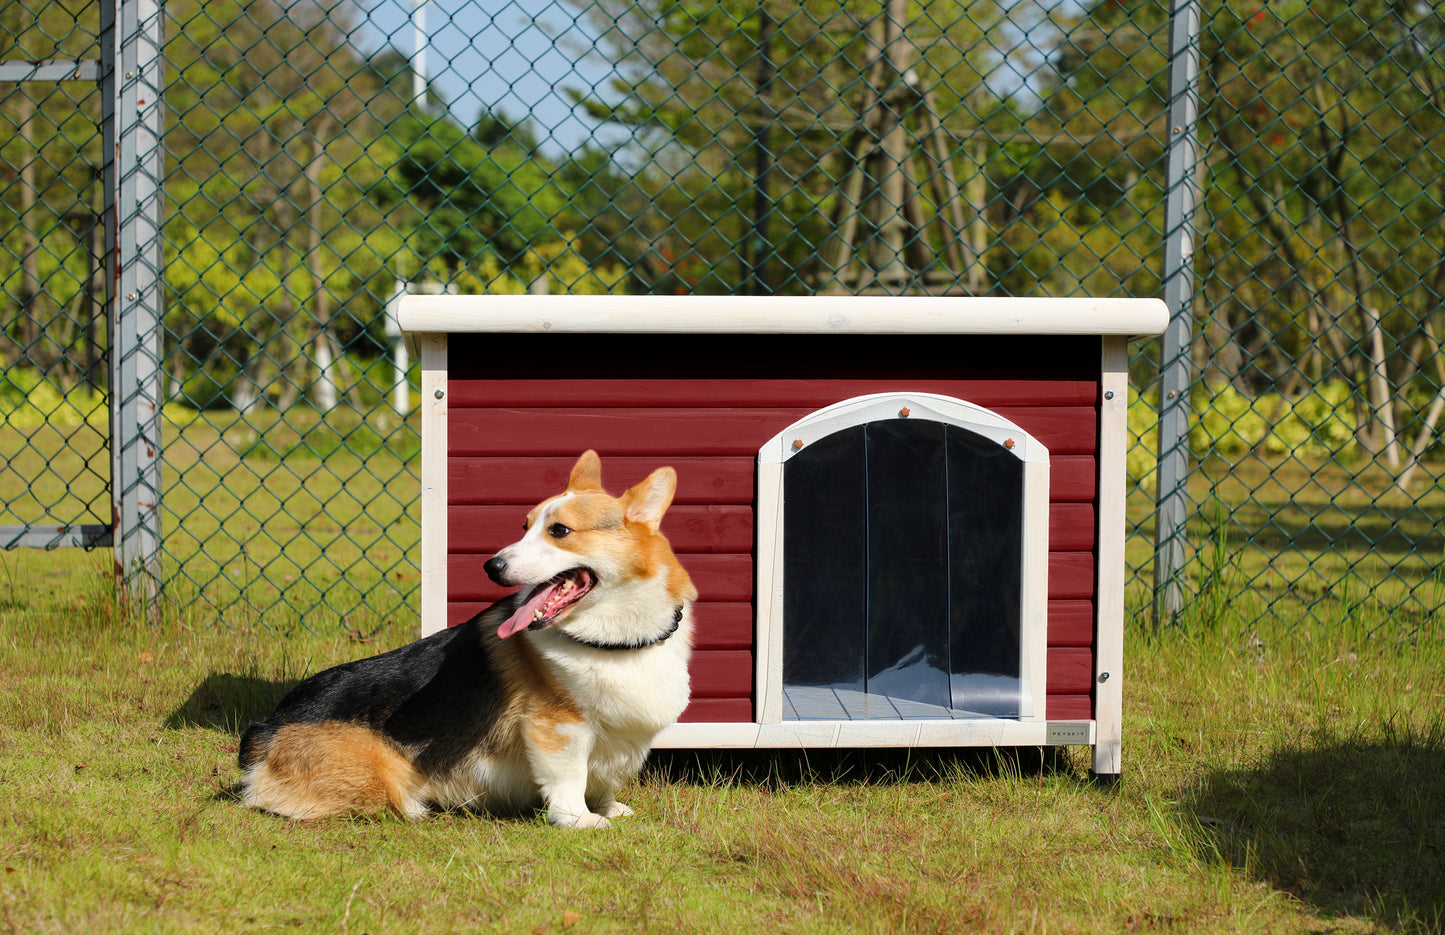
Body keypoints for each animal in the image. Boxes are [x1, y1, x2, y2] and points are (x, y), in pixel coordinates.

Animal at [238, 450, 699, 832]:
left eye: (559, 530)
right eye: (524, 527)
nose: (491, 566)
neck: (617, 641)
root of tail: (264, 729)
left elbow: (603, 780)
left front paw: (607, 808)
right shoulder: (559, 727)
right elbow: (569, 779)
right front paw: (580, 820)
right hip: (383, 778)